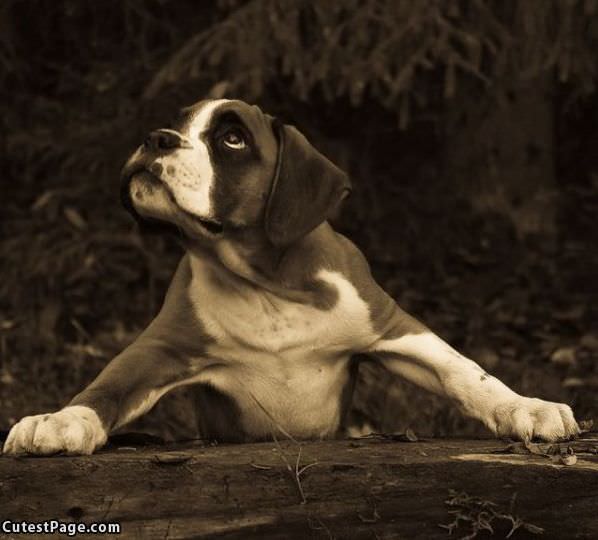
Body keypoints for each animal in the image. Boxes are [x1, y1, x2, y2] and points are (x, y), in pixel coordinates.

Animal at [1, 99, 580, 454]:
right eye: (178, 125)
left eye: (232, 140)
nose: (156, 137)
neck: (266, 285)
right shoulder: (160, 347)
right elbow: (107, 386)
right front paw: (59, 420)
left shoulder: (393, 327)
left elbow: (467, 373)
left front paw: (527, 407)